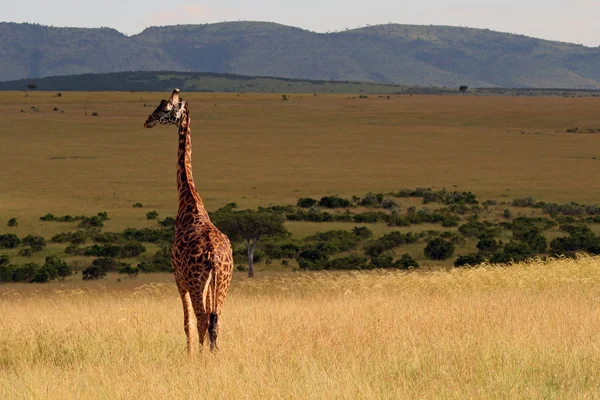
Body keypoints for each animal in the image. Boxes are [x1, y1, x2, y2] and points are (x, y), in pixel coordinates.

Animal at [144, 88, 233, 354]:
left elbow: (187, 322)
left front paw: (189, 353)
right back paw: (213, 355)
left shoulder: (178, 276)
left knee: (203, 318)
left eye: (165, 109)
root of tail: (213, 256)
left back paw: (201, 357)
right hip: (223, 282)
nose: (147, 121)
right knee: (216, 320)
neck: (189, 199)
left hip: (195, 282)